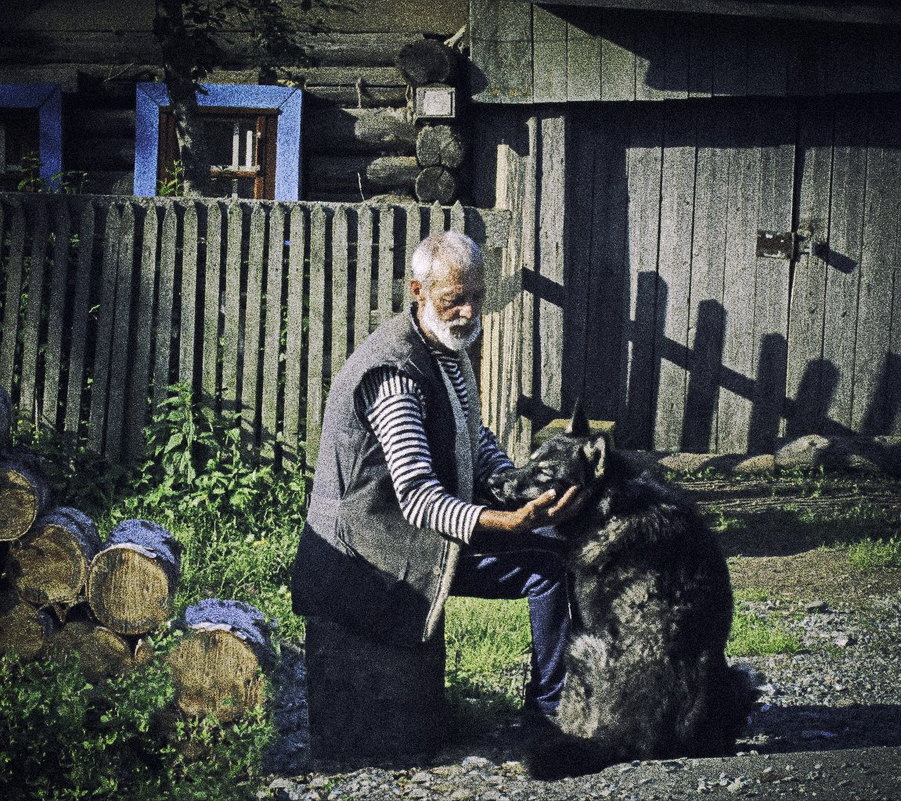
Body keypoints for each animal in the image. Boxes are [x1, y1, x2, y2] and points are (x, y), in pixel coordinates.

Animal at [486, 404, 752, 780]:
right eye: (529, 461)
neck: (608, 505)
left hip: (577, 648)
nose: (494, 482)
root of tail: (626, 737)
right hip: (737, 676)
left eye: (544, 472)